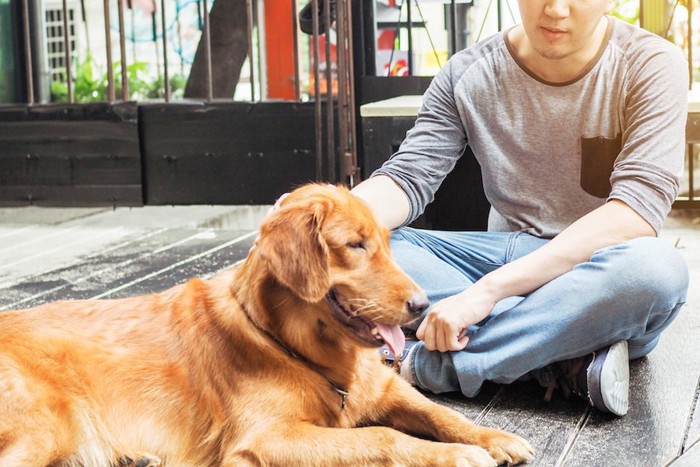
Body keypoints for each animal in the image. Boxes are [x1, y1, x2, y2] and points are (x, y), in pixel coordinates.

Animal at [0, 185, 532, 466]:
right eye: (355, 245)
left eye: (385, 242)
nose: (423, 306)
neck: (289, 345)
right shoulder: (267, 438)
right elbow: (382, 437)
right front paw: (457, 456)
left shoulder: (384, 389)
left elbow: (440, 413)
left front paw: (493, 438)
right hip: (44, 427)